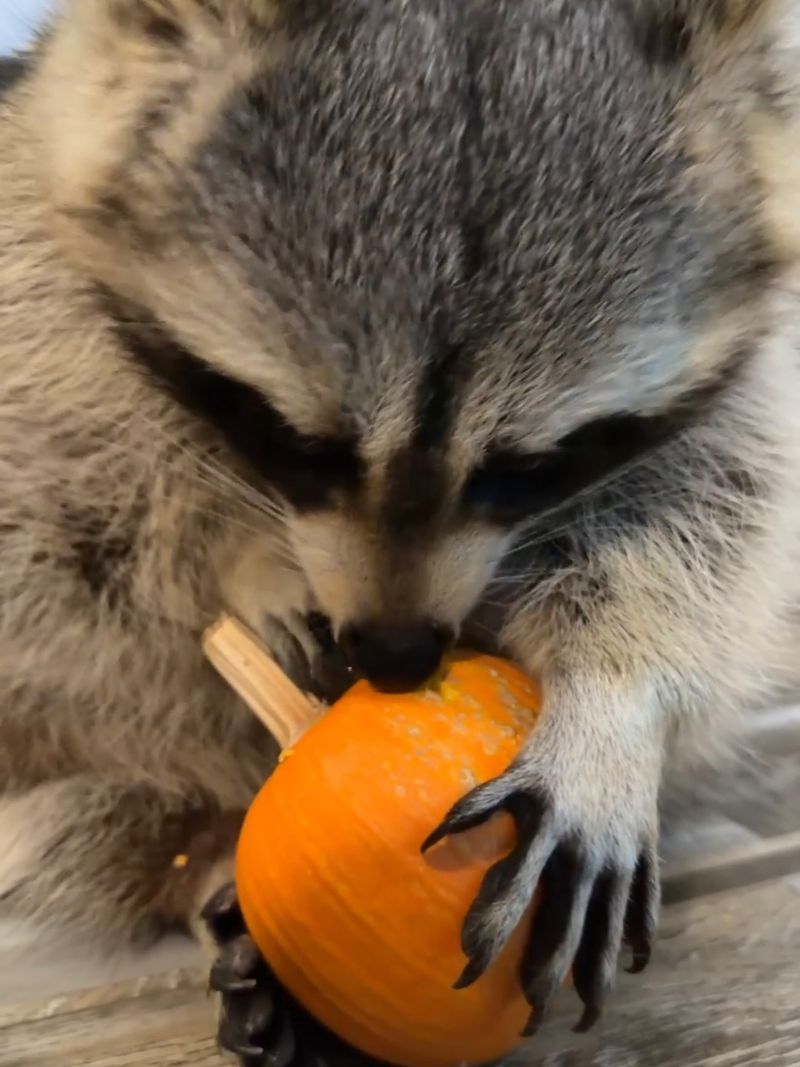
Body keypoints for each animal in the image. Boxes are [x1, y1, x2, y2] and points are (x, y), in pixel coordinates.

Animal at [1, 0, 799, 1062]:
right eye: (297, 442)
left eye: (526, 470)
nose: (394, 654)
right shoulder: (44, 289)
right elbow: (105, 496)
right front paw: (241, 565)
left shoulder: (738, 399)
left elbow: (717, 515)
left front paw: (613, 703)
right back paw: (199, 856)